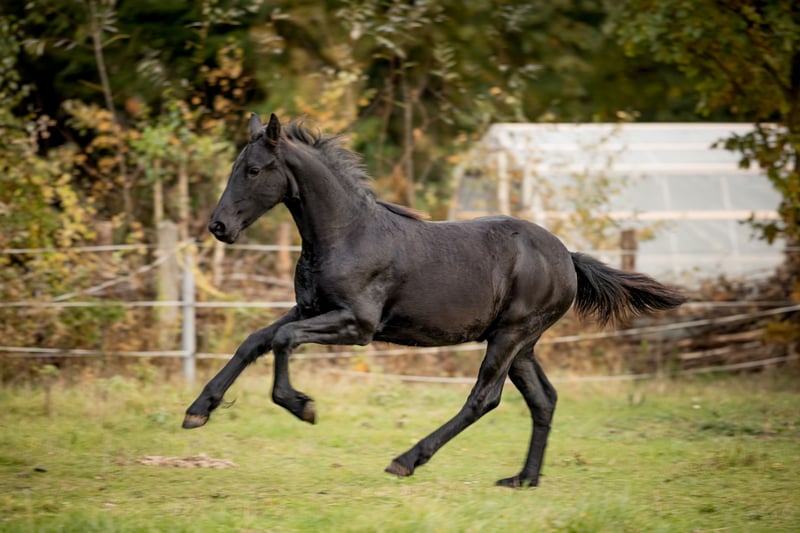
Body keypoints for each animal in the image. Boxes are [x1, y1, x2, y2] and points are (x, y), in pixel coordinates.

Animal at [183, 113, 686, 487]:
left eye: (253, 170)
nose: (218, 227)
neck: (345, 234)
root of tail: (567, 256)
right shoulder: (311, 309)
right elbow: (256, 339)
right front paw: (197, 411)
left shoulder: (357, 325)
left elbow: (284, 339)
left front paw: (301, 405)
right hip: (523, 344)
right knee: (543, 399)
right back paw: (522, 479)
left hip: (510, 336)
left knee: (484, 398)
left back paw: (407, 459)